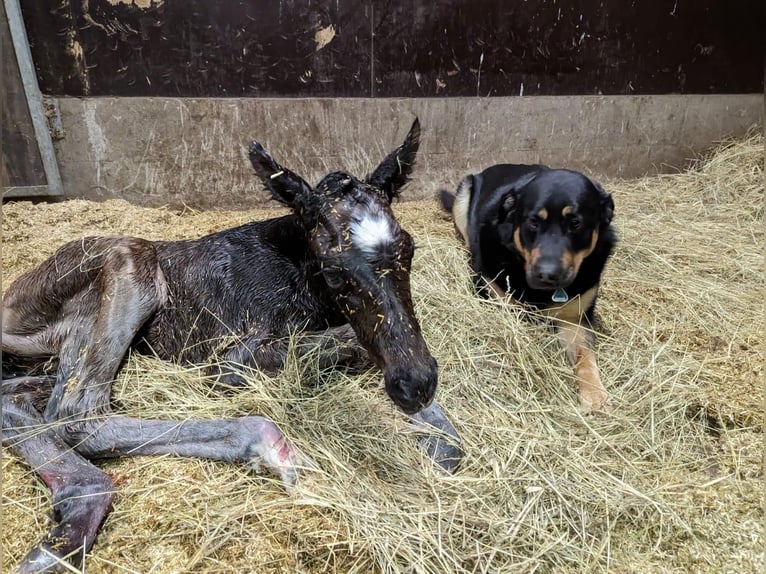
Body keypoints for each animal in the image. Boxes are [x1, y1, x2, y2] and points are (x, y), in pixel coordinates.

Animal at [1, 119, 462, 572]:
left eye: (409, 250)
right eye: (333, 271)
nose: (415, 383)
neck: (300, 274)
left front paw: (434, 434)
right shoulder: (230, 360)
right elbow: (350, 340)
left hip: (47, 363)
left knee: (20, 403)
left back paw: (61, 536)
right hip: (128, 260)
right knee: (75, 413)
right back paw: (269, 445)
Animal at [438, 164, 616, 412]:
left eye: (575, 223)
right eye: (533, 222)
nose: (547, 274)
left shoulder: (576, 319)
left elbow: (586, 357)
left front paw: (595, 394)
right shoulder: (495, 294)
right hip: (464, 192)